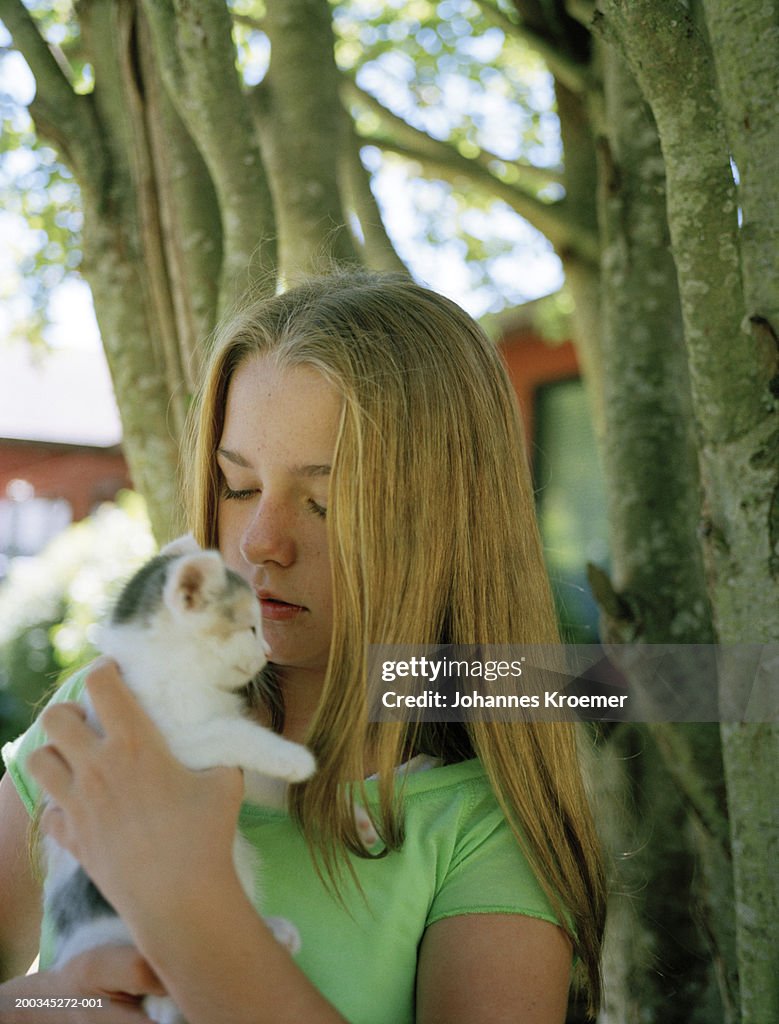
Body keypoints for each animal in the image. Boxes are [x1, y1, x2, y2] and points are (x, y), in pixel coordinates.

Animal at [40, 536, 315, 1024]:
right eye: (250, 627)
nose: (265, 652)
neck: (179, 674)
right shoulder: (176, 742)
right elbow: (235, 734)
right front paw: (297, 759)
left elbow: (263, 776)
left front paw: (347, 812)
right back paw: (165, 1001)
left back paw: (275, 932)